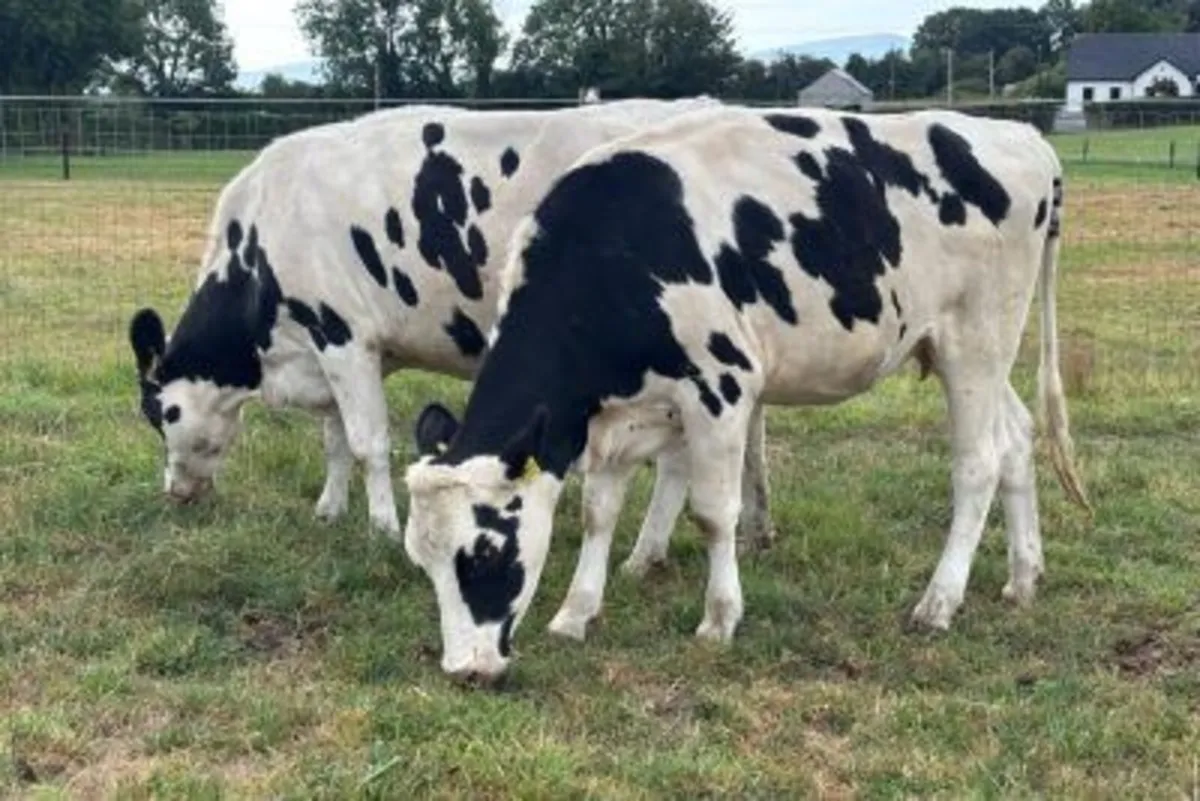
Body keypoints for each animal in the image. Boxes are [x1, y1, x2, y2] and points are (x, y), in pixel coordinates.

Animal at [126, 97, 780, 555]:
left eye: (160, 416)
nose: (175, 493)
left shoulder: (342, 335)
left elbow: (366, 443)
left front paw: (382, 529)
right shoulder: (327, 349)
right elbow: (334, 438)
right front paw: (330, 510)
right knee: (751, 437)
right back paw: (758, 526)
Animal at [400, 103, 1093, 684]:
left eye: (485, 553)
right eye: (422, 560)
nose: (465, 671)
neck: (610, 250)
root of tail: (1019, 135)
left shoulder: (722, 388)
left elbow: (713, 512)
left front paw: (719, 618)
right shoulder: (615, 414)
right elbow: (599, 511)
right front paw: (576, 613)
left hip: (976, 340)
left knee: (977, 465)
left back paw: (939, 602)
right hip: (967, 352)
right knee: (1016, 440)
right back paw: (1023, 577)